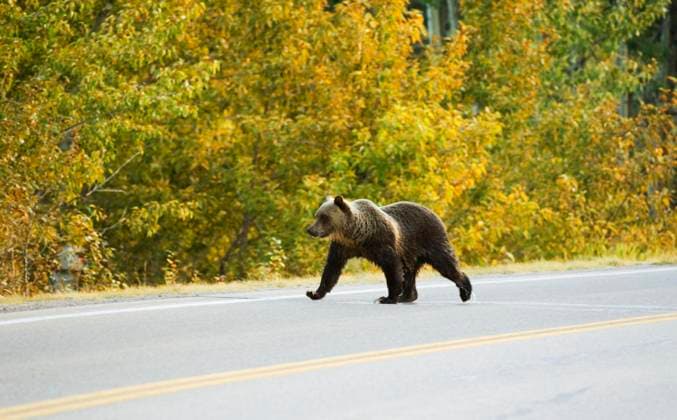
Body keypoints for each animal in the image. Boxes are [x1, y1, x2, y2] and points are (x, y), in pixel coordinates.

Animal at [305, 196, 472, 304]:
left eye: (324, 217)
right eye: (316, 215)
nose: (310, 230)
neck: (355, 234)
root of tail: (436, 214)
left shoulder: (382, 242)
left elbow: (392, 267)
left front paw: (387, 298)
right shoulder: (342, 246)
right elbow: (332, 268)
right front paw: (314, 293)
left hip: (430, 240)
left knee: (445, 264)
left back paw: (465, 291)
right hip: (411, 253)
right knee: (410, 273)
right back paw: (407, 297)